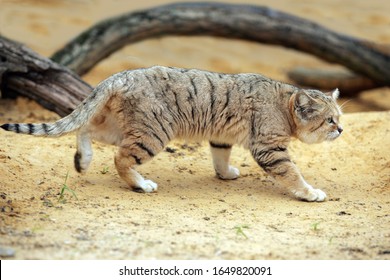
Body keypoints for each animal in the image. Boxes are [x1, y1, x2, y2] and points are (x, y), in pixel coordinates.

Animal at [0, 65, 342, 201]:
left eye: (338, 117)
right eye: (328, 120)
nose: (341, 128)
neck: (284, 102)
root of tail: (123, 74)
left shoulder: (221, 137)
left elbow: (220, 157)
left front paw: (225, 173)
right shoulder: (269, 147)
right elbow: (291, 173)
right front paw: (309, 192)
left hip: (120, 126)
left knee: (85, 129)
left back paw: (82, 161)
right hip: (154, 133)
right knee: (120, 159)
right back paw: (140, 184)